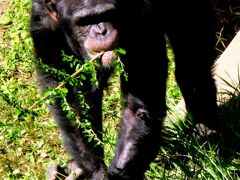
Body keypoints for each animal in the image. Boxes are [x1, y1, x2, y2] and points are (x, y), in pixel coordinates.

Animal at [30, 0, 219, 179]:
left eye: (106, 14)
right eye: (83, 22)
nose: (101, 31)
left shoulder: (141, 19)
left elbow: (136, 109)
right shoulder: (43, 28)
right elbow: (71, 105)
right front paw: (97, 172)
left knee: (192, 67)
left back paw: (206, 133)